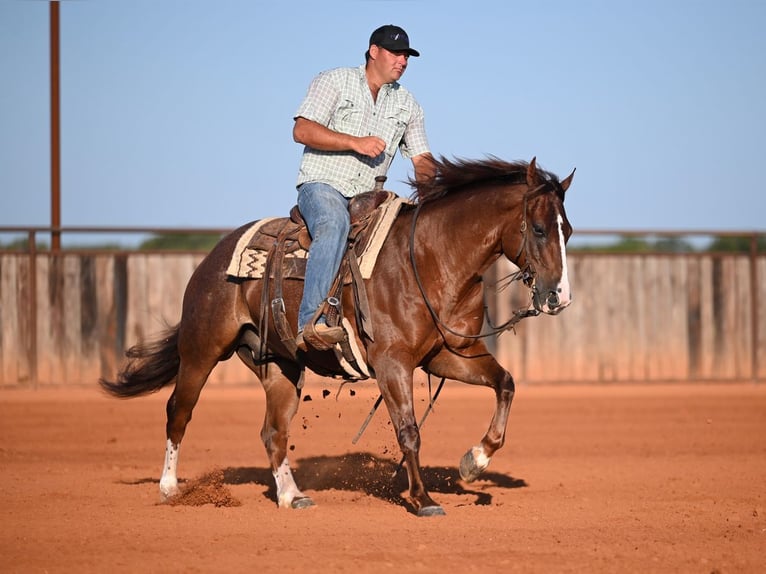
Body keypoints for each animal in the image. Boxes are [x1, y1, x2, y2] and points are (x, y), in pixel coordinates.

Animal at [100, 156, 574, 517]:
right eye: (538, 229)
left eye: (567, 231)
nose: (559, 297)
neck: (430, 258)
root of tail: (212, 257)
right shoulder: (392, 362)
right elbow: (409, 431)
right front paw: (423, 499)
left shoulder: (449, 354)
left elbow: (505, 383)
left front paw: (474, 461)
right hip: (201, 349)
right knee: (178, 411)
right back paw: (169, 488)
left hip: (280, 366)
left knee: (273, 431)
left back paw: (291, 496)